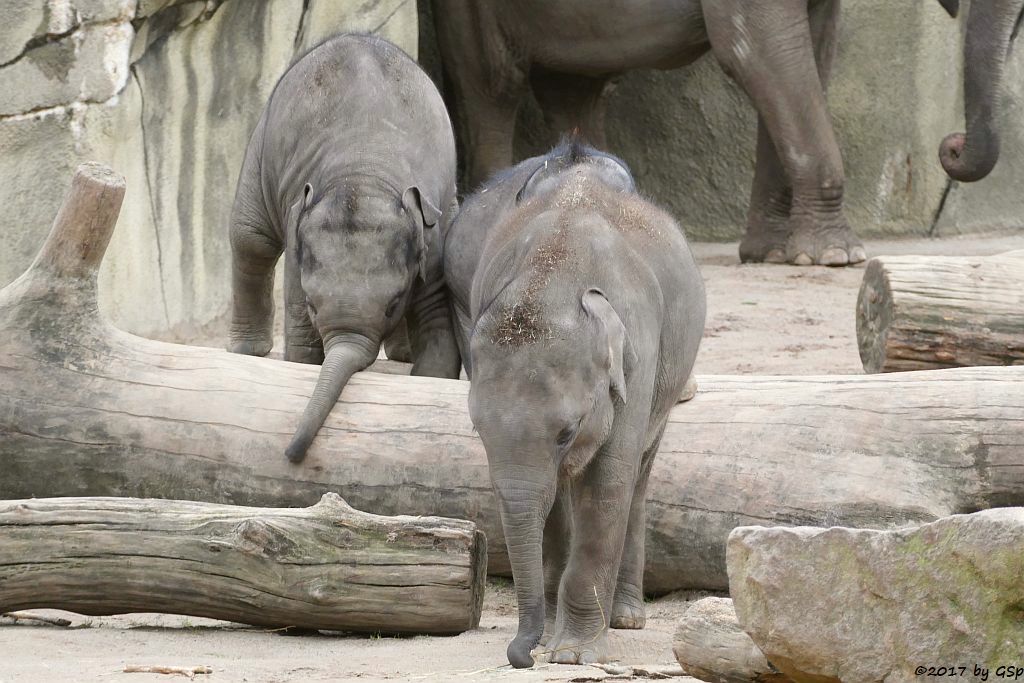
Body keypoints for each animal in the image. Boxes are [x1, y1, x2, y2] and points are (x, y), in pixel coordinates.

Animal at [232, 31, 460, 462]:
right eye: (313, 304)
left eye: (393, 303)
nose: (291, 454)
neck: (364, 172)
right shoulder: (298, 236)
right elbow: (302, 340)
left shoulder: (435, 237)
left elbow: (436, 325)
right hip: (260, 148)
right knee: (249, 238)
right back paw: (246, 352)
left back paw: (402, 355)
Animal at [444, 141, 708, 663]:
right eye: (478, 431)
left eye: (568, 431)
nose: (521, 655)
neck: (555, 269)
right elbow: (546, 499)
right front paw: (550, 637)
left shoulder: (637, 354)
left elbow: (609, 480)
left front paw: (574, 655)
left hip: (668, 380)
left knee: (639, 475)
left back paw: (626, 618)